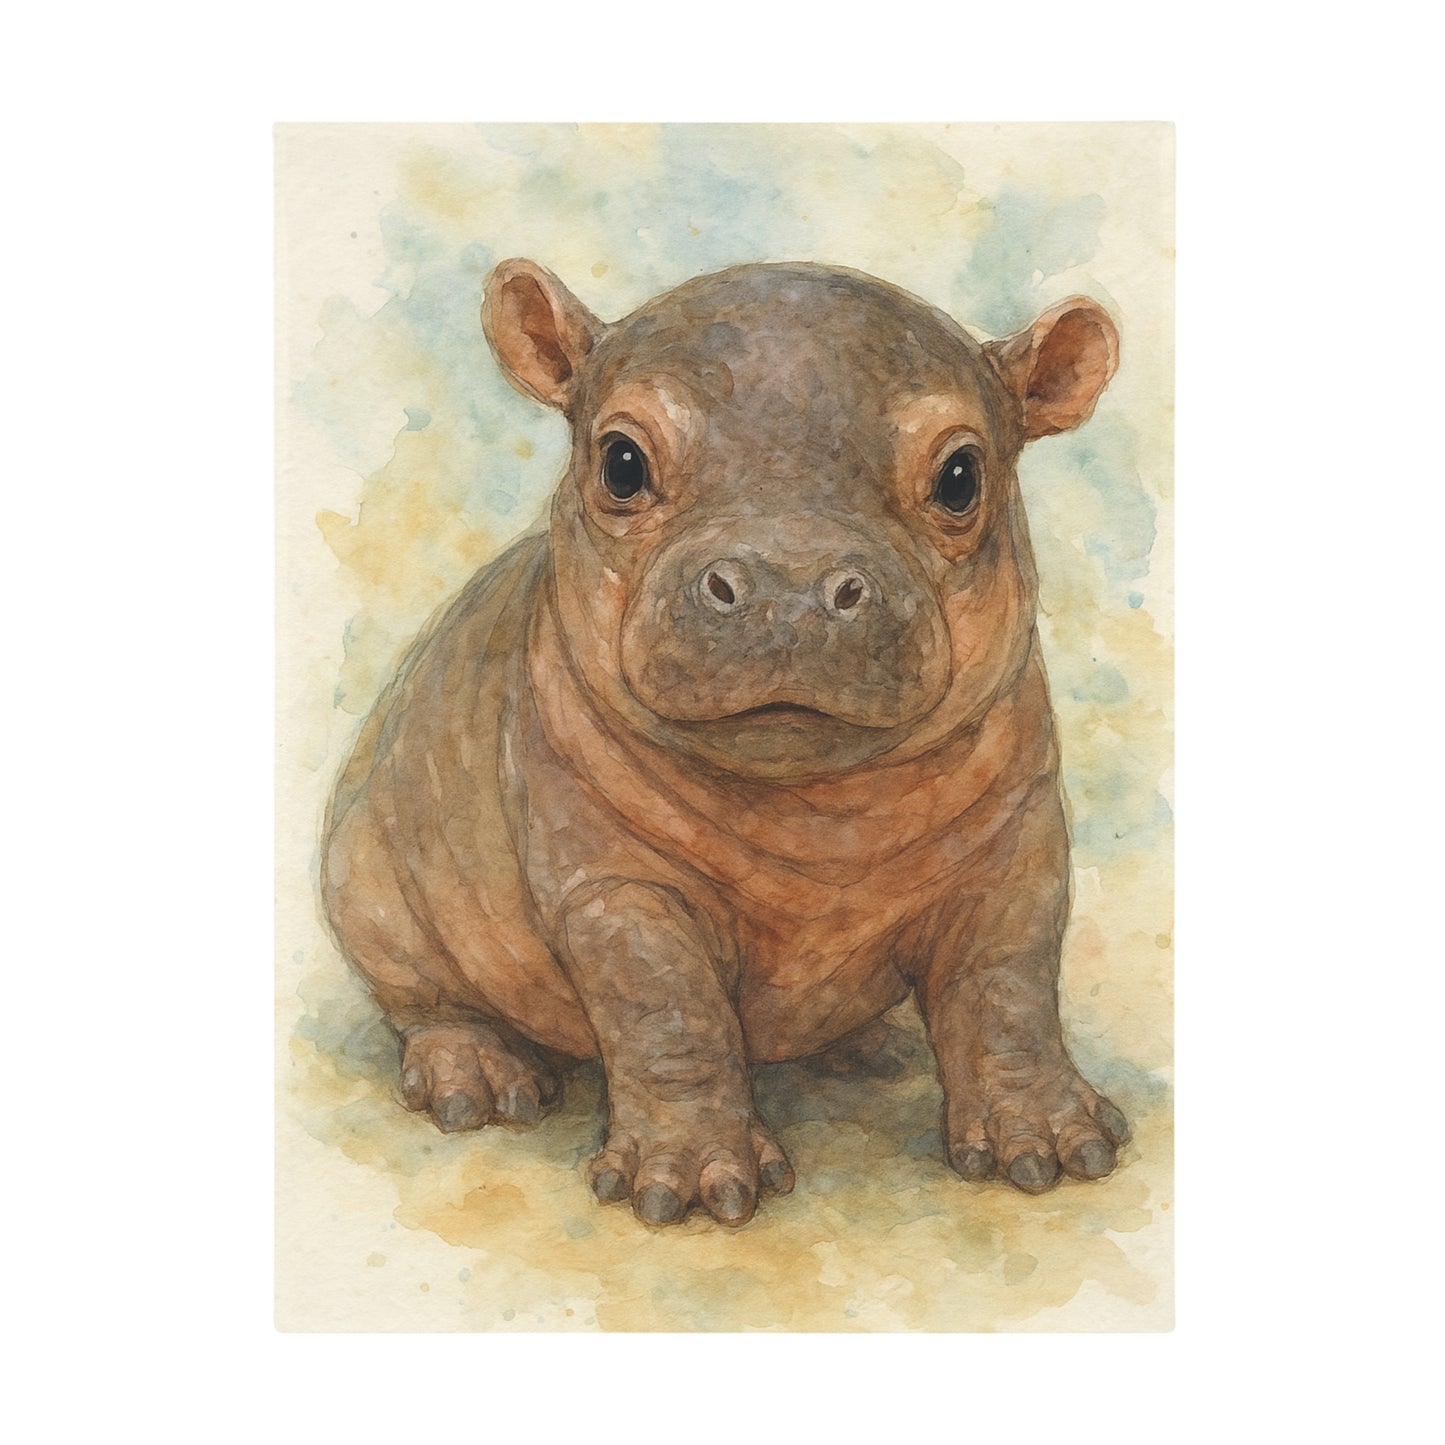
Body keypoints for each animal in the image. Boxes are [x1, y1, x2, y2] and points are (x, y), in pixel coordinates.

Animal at [321, 258, 1129, 1227]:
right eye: (620, 461)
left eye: (961, 475)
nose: (787, 582)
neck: (817, 810)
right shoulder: (615, 884)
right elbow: (667, 1012)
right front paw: (691, 1192)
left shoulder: (1016, 850)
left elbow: (1008, 988)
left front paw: (1057, 1150)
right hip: (370, 884)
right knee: (428, 1000)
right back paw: (480, 1083)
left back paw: (866, 1051)